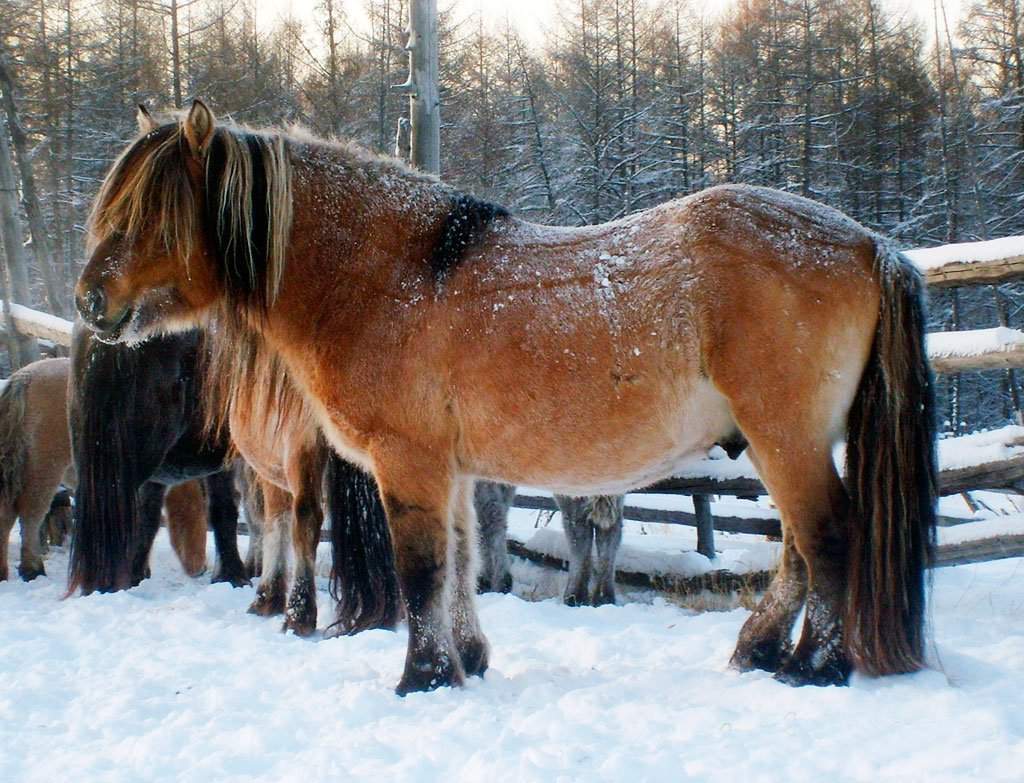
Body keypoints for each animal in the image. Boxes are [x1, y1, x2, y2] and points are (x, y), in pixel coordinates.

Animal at [477, 479, 622, 605]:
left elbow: (487, 520)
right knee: (610, 532)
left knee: (579, 531)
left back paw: (575, 596)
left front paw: (493, 583)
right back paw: (603, 598)